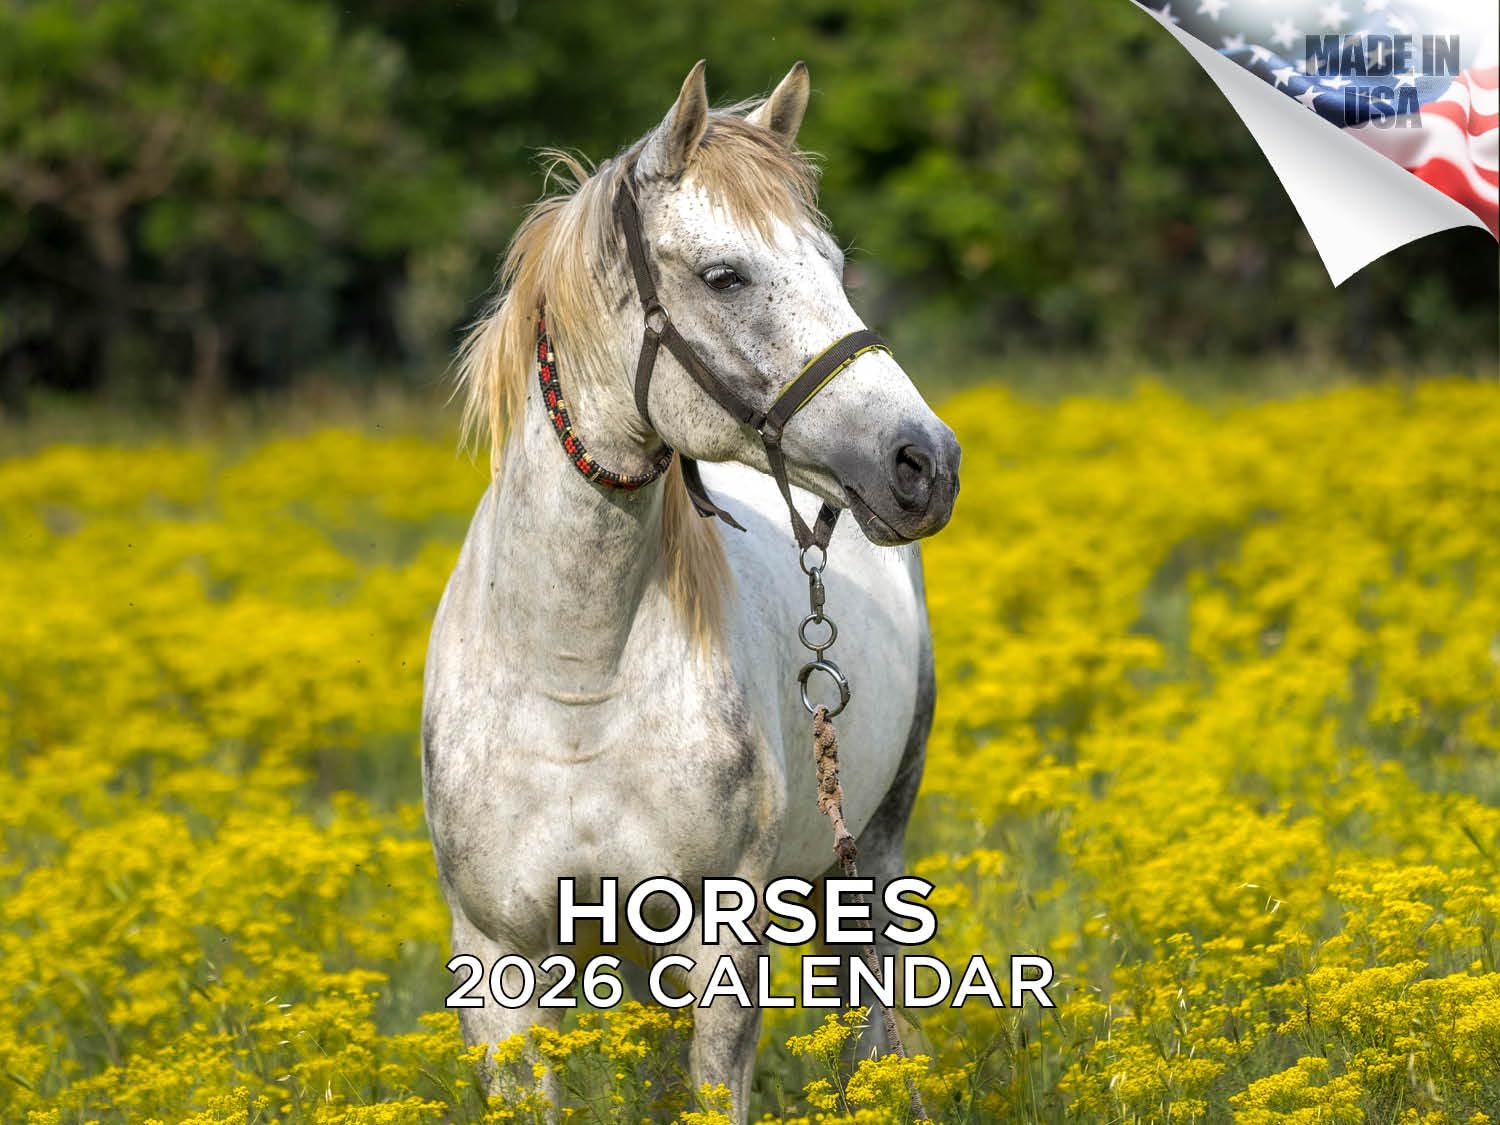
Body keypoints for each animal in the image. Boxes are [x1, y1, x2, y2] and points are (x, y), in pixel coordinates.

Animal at [421, 60, 960, 1119]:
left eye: (835, 265)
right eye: (724, 276)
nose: (925, 463)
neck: (573, 682)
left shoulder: (721, 945)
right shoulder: (499, 961)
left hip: (870, 860)